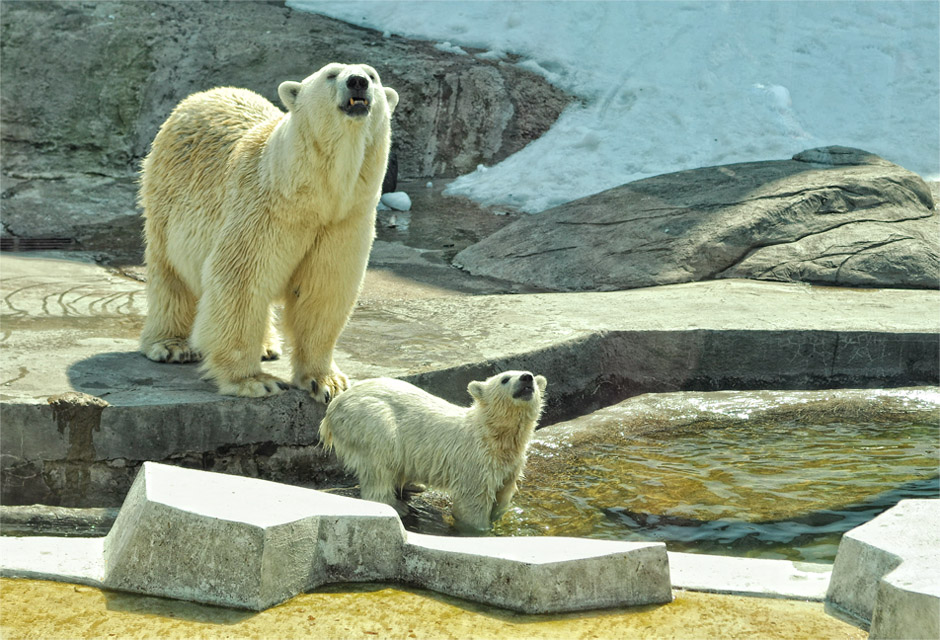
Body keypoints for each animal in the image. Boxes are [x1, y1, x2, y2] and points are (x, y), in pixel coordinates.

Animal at [139, 63, 396, 400]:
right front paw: (254, 381)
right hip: (167, 198)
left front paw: (326, 381)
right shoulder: (265, 210)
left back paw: (267, 346)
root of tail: (202, 95)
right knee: (170, 272)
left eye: (372, 75)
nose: (357, 82)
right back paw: (171, 345)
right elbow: (241, 280)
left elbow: (323, 290)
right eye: (331, 73)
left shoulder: (344, 220)